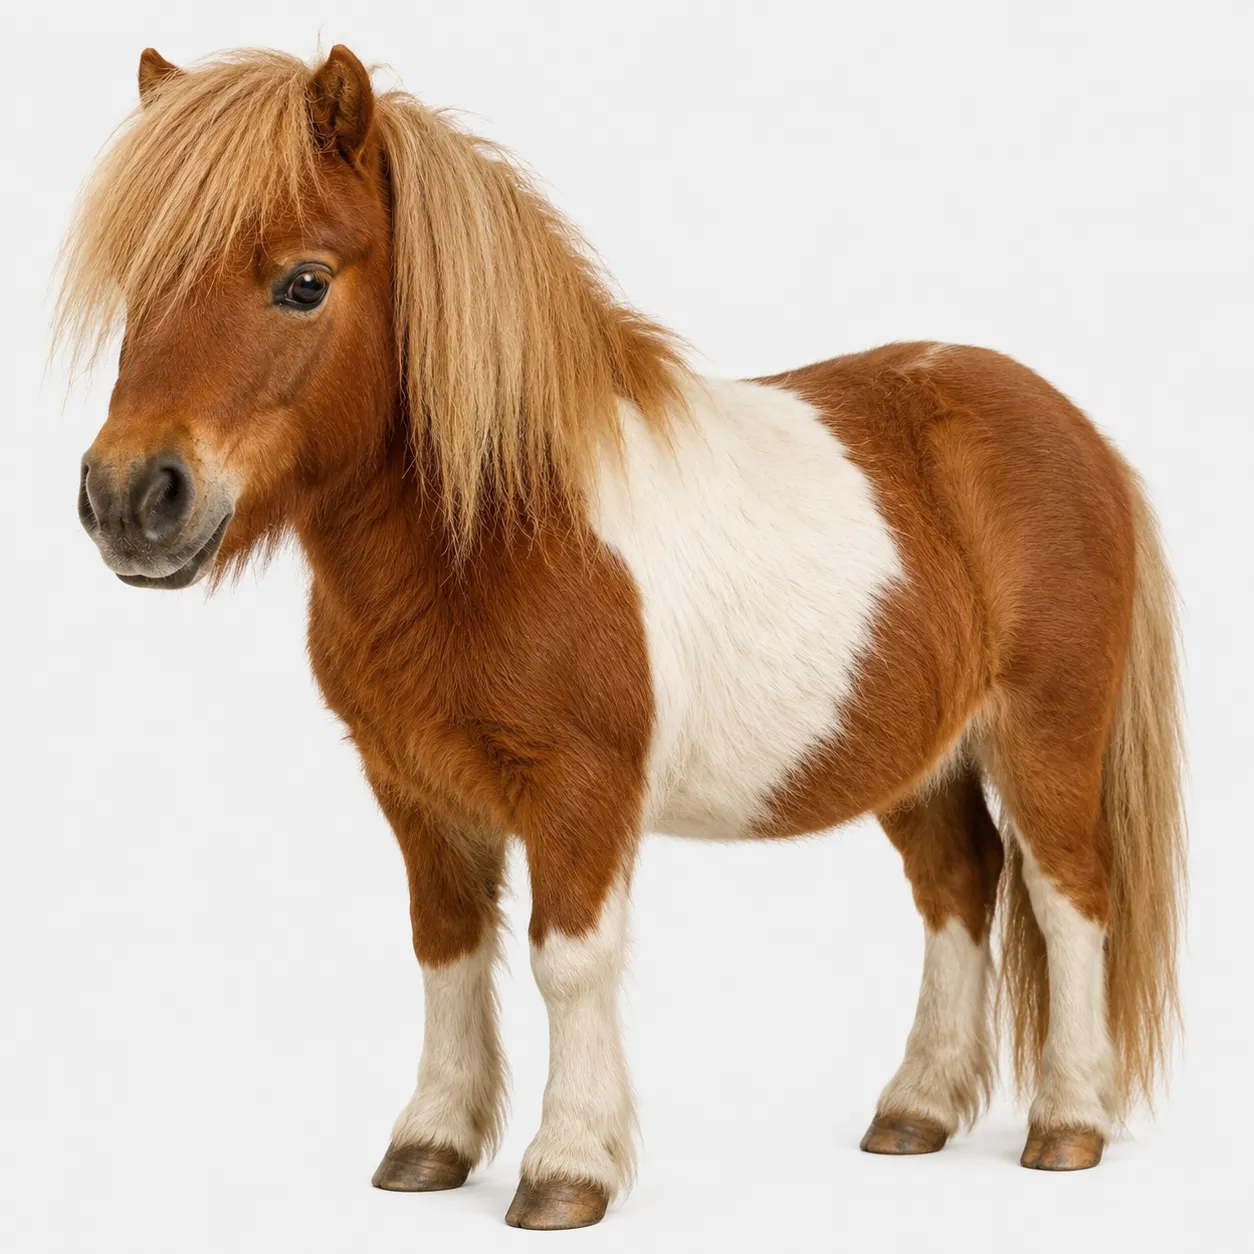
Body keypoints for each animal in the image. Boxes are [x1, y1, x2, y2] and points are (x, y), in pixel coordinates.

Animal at [60, 45, 1185, 1231]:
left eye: (305, 282)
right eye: (139, 284)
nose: (129, 497)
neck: (503, 528)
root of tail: (1074, 429)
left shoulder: (581, 792)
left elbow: (568, 964)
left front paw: (566, 1170)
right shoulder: (415, 790)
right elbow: (445, 951)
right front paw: (430, 1145)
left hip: (1047, 737)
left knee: (1068, 900)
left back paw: (1067, 1126)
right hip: (921, 760)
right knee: (961, 888)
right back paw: (915, 1112)